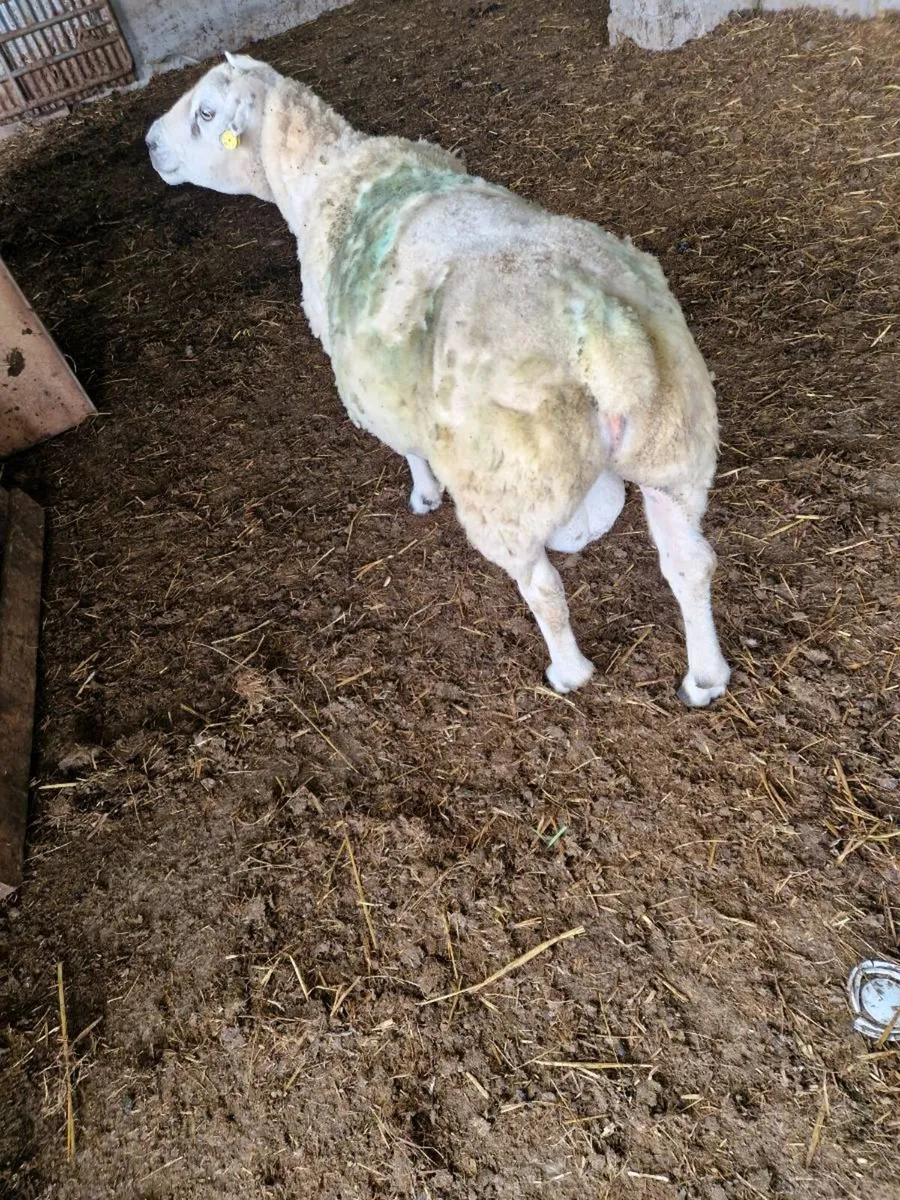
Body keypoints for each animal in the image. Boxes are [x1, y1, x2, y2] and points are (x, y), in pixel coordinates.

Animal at [146, 54, 731, 706]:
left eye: (205, 113)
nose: (150, 145)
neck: (324, 172)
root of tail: (606, 330)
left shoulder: (374, 390)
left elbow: (408, 449)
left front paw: (423, 495)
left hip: (502, 486)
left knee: (543, 587)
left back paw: (567, 670)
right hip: (675, 449)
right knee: (690, 563)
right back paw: (704, 676)